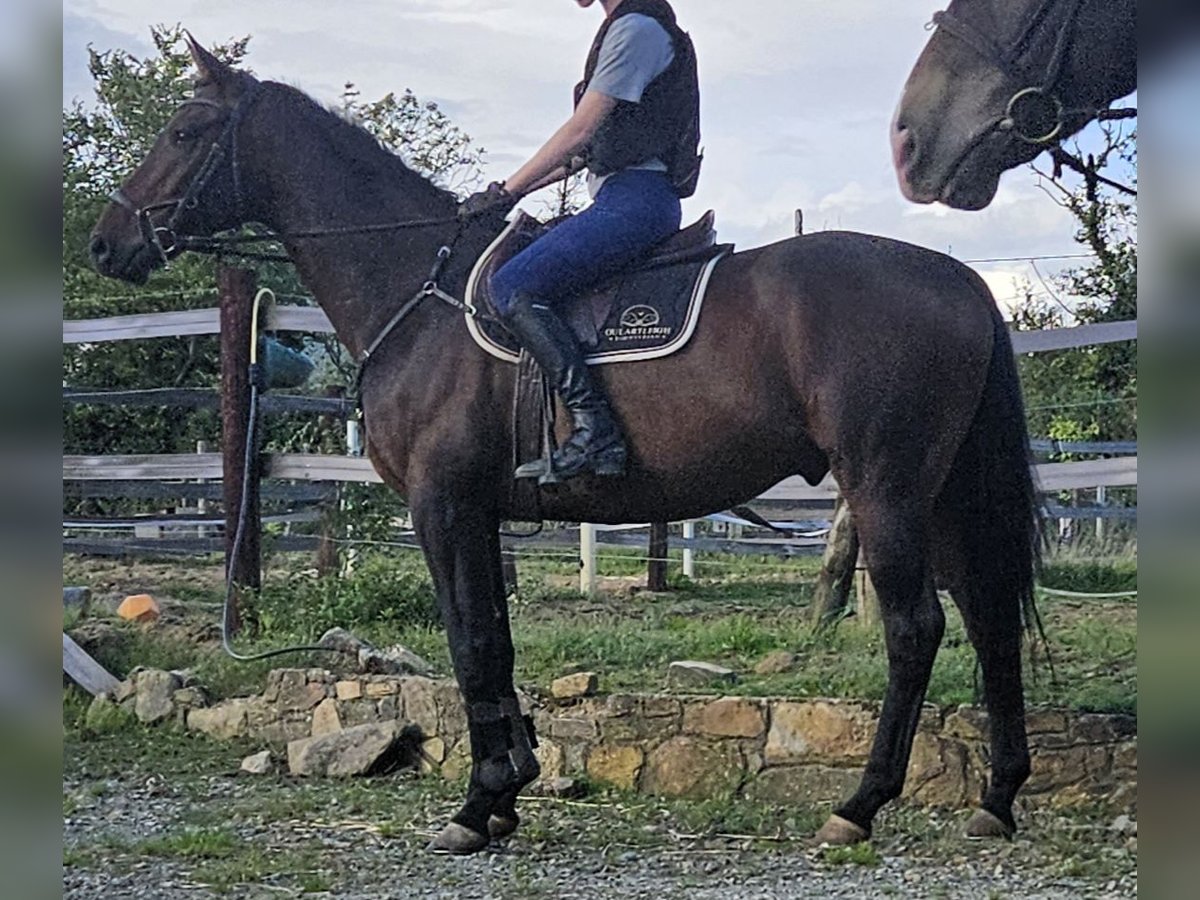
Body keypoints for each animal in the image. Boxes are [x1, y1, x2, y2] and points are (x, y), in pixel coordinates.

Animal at [90, 38, 1041, 854]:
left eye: (186, 131)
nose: (109, 242)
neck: (421, 294)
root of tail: (959, 277)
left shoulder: (441, 506)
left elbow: (470, 642)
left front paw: (476, 804)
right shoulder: (480, 513)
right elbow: (497, 641)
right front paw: (509, 787)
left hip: (886, 489)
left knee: (917, 630)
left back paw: (860, 804)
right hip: (943, 493)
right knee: (990, 618)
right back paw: (996, 799)